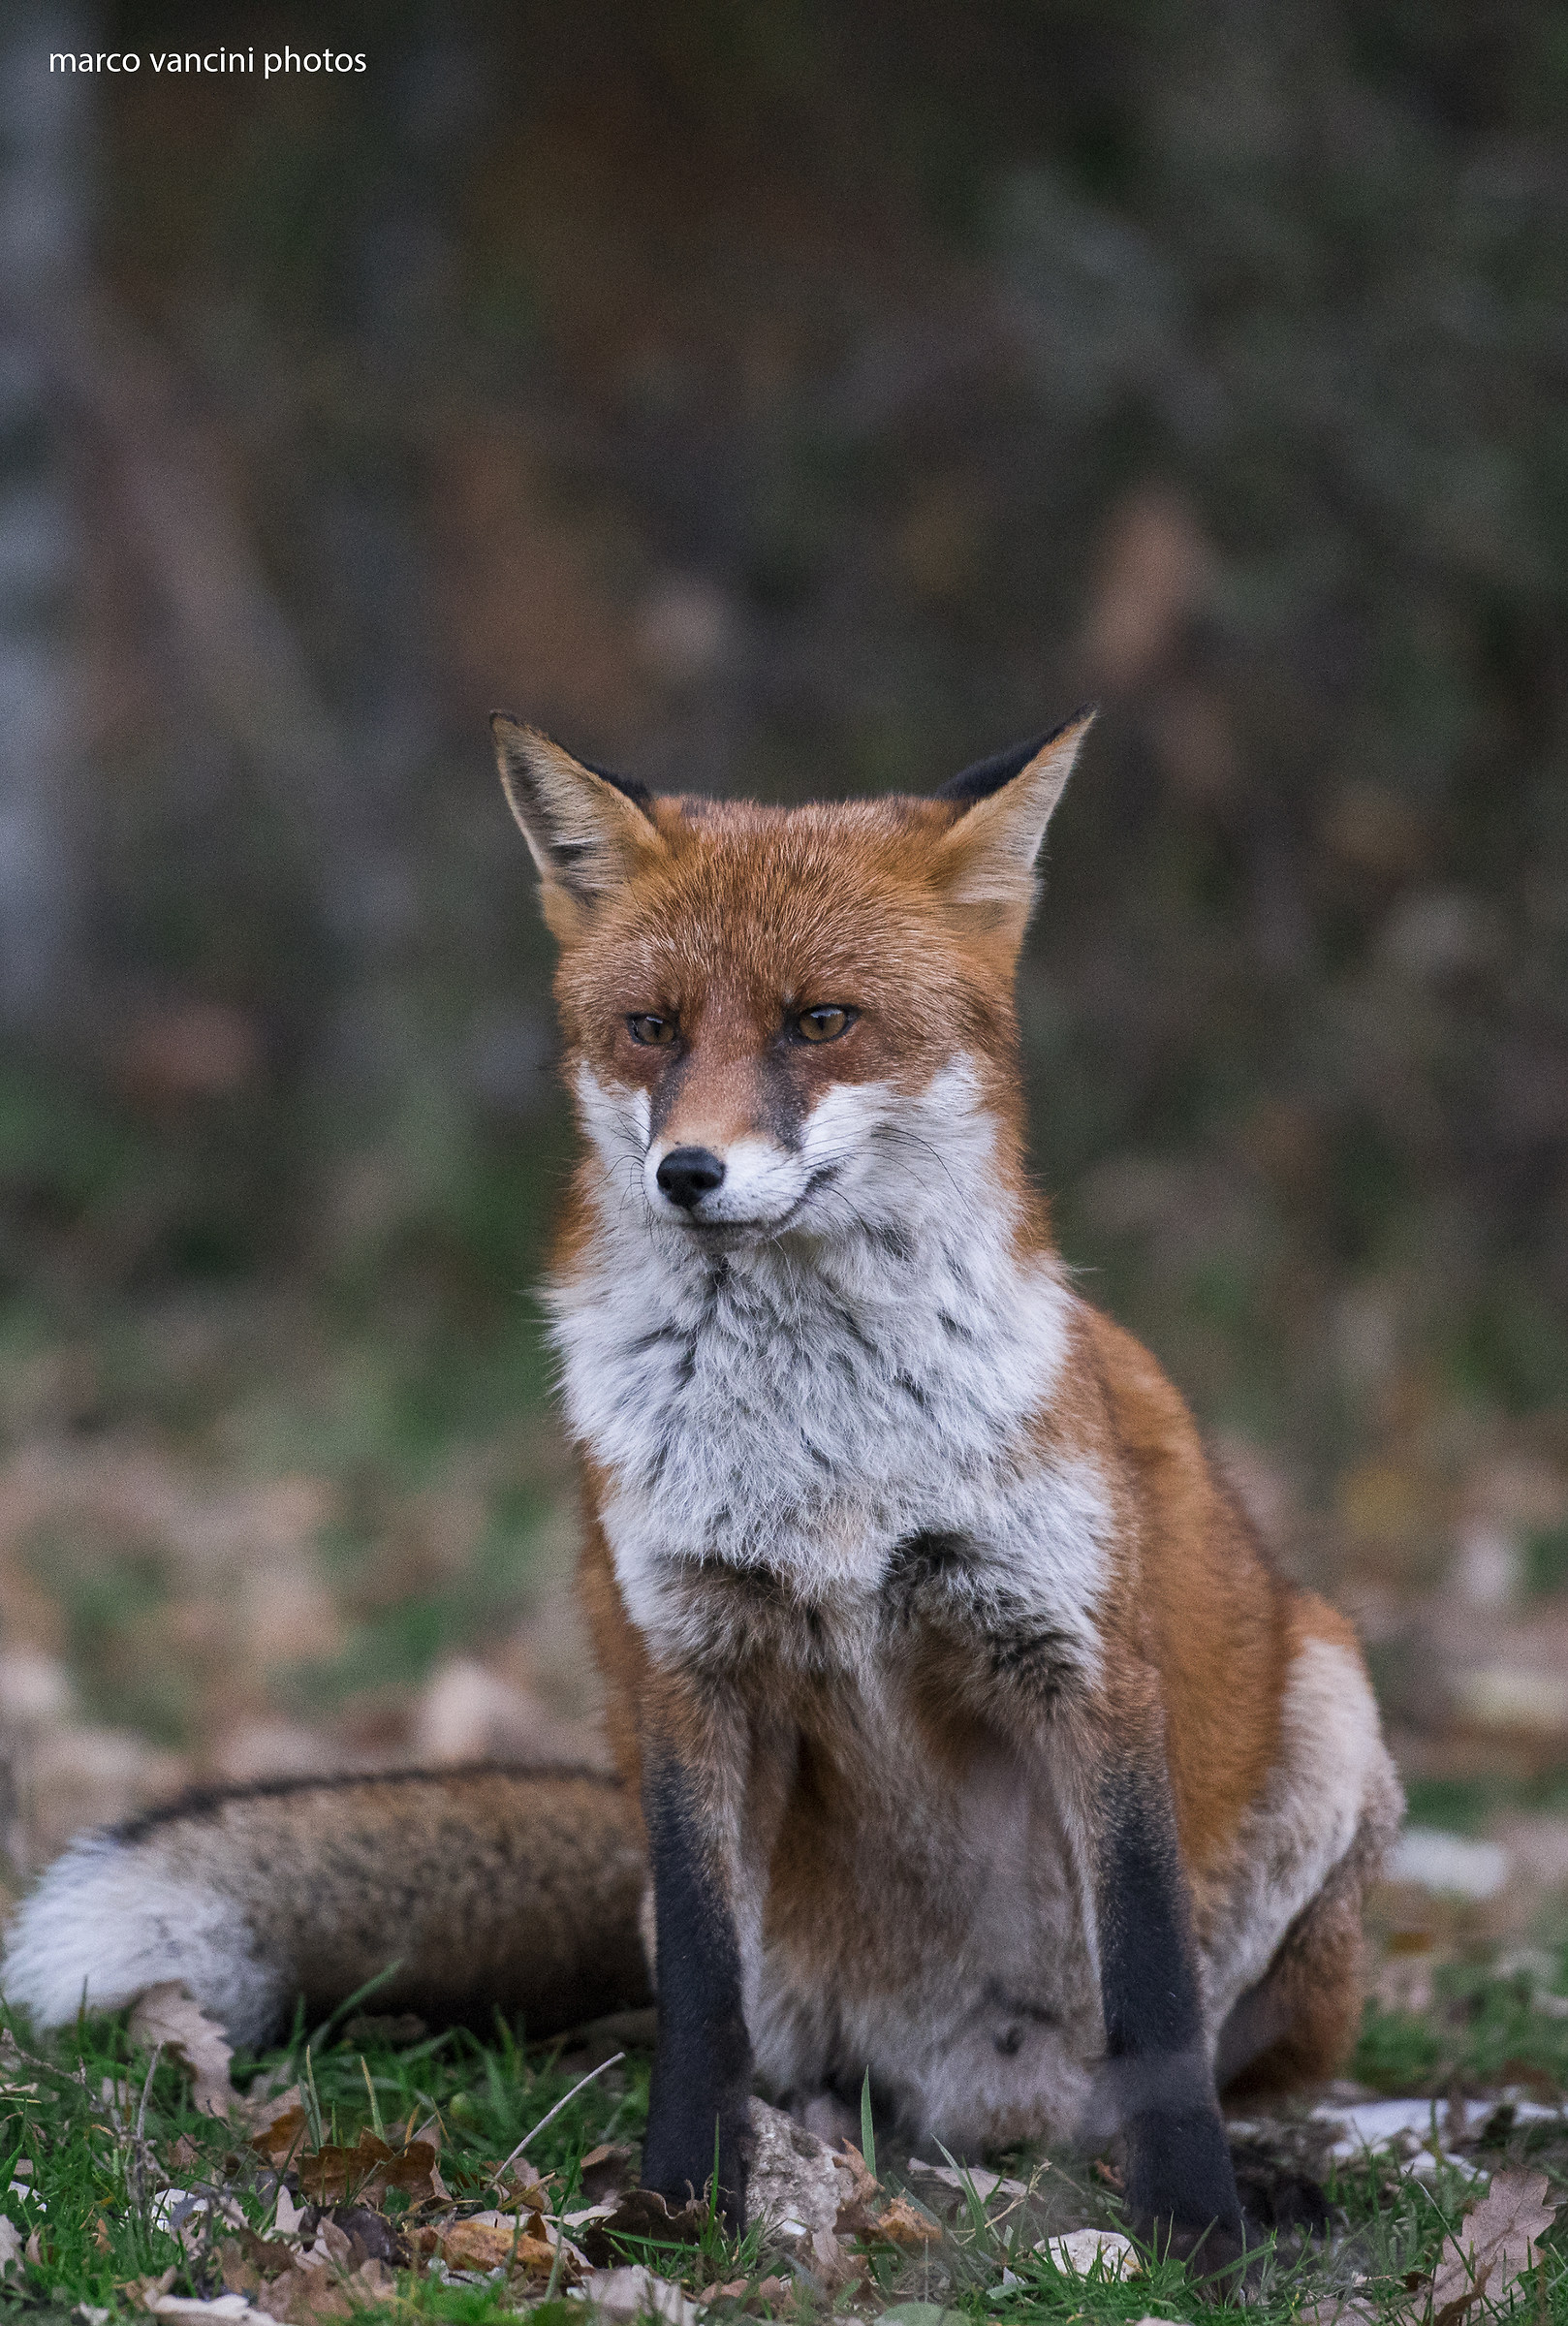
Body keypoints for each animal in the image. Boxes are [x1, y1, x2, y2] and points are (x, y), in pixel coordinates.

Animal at [2, 710, 1401, 2267]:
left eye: (820, 1021)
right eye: (653, 1028)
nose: (688, 1172)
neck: (825, 1462)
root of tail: (990, 2118)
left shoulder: (1076, 1657)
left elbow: (1152, 1995)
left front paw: (1198, 2228)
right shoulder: (680, 1661)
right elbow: (698, 2001)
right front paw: (681, 2206)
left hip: (1333, 1712)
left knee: (1223, 2065)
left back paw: (1257, 2170)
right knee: (784, 2060)